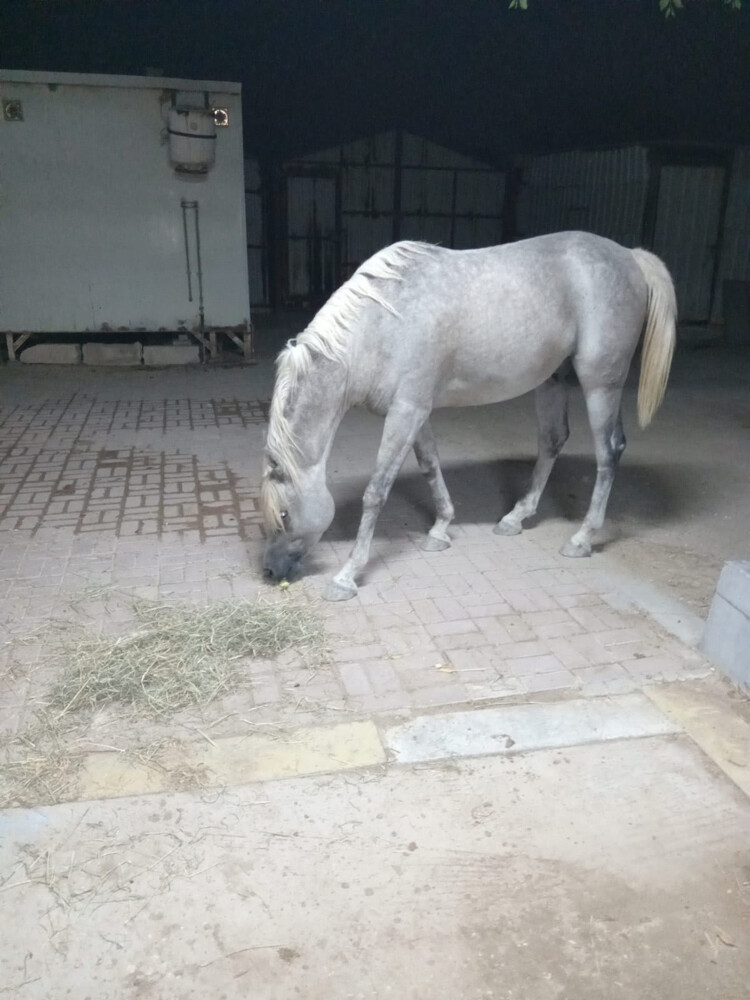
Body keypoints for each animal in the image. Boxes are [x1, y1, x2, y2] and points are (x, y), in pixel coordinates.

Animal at [261, 231, 676, 602]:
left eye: (283, 514)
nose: (269, 571)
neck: (382, 323)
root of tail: (630, 255)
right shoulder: (415, 411)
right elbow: (430, 466)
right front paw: (440, 529)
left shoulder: (406, 411)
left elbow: (376, 492)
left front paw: (347, 575)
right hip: (553, 379)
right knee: (553, 440)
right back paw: (516, 517)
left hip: (599, 384)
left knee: (609, 451)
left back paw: (582, 537)